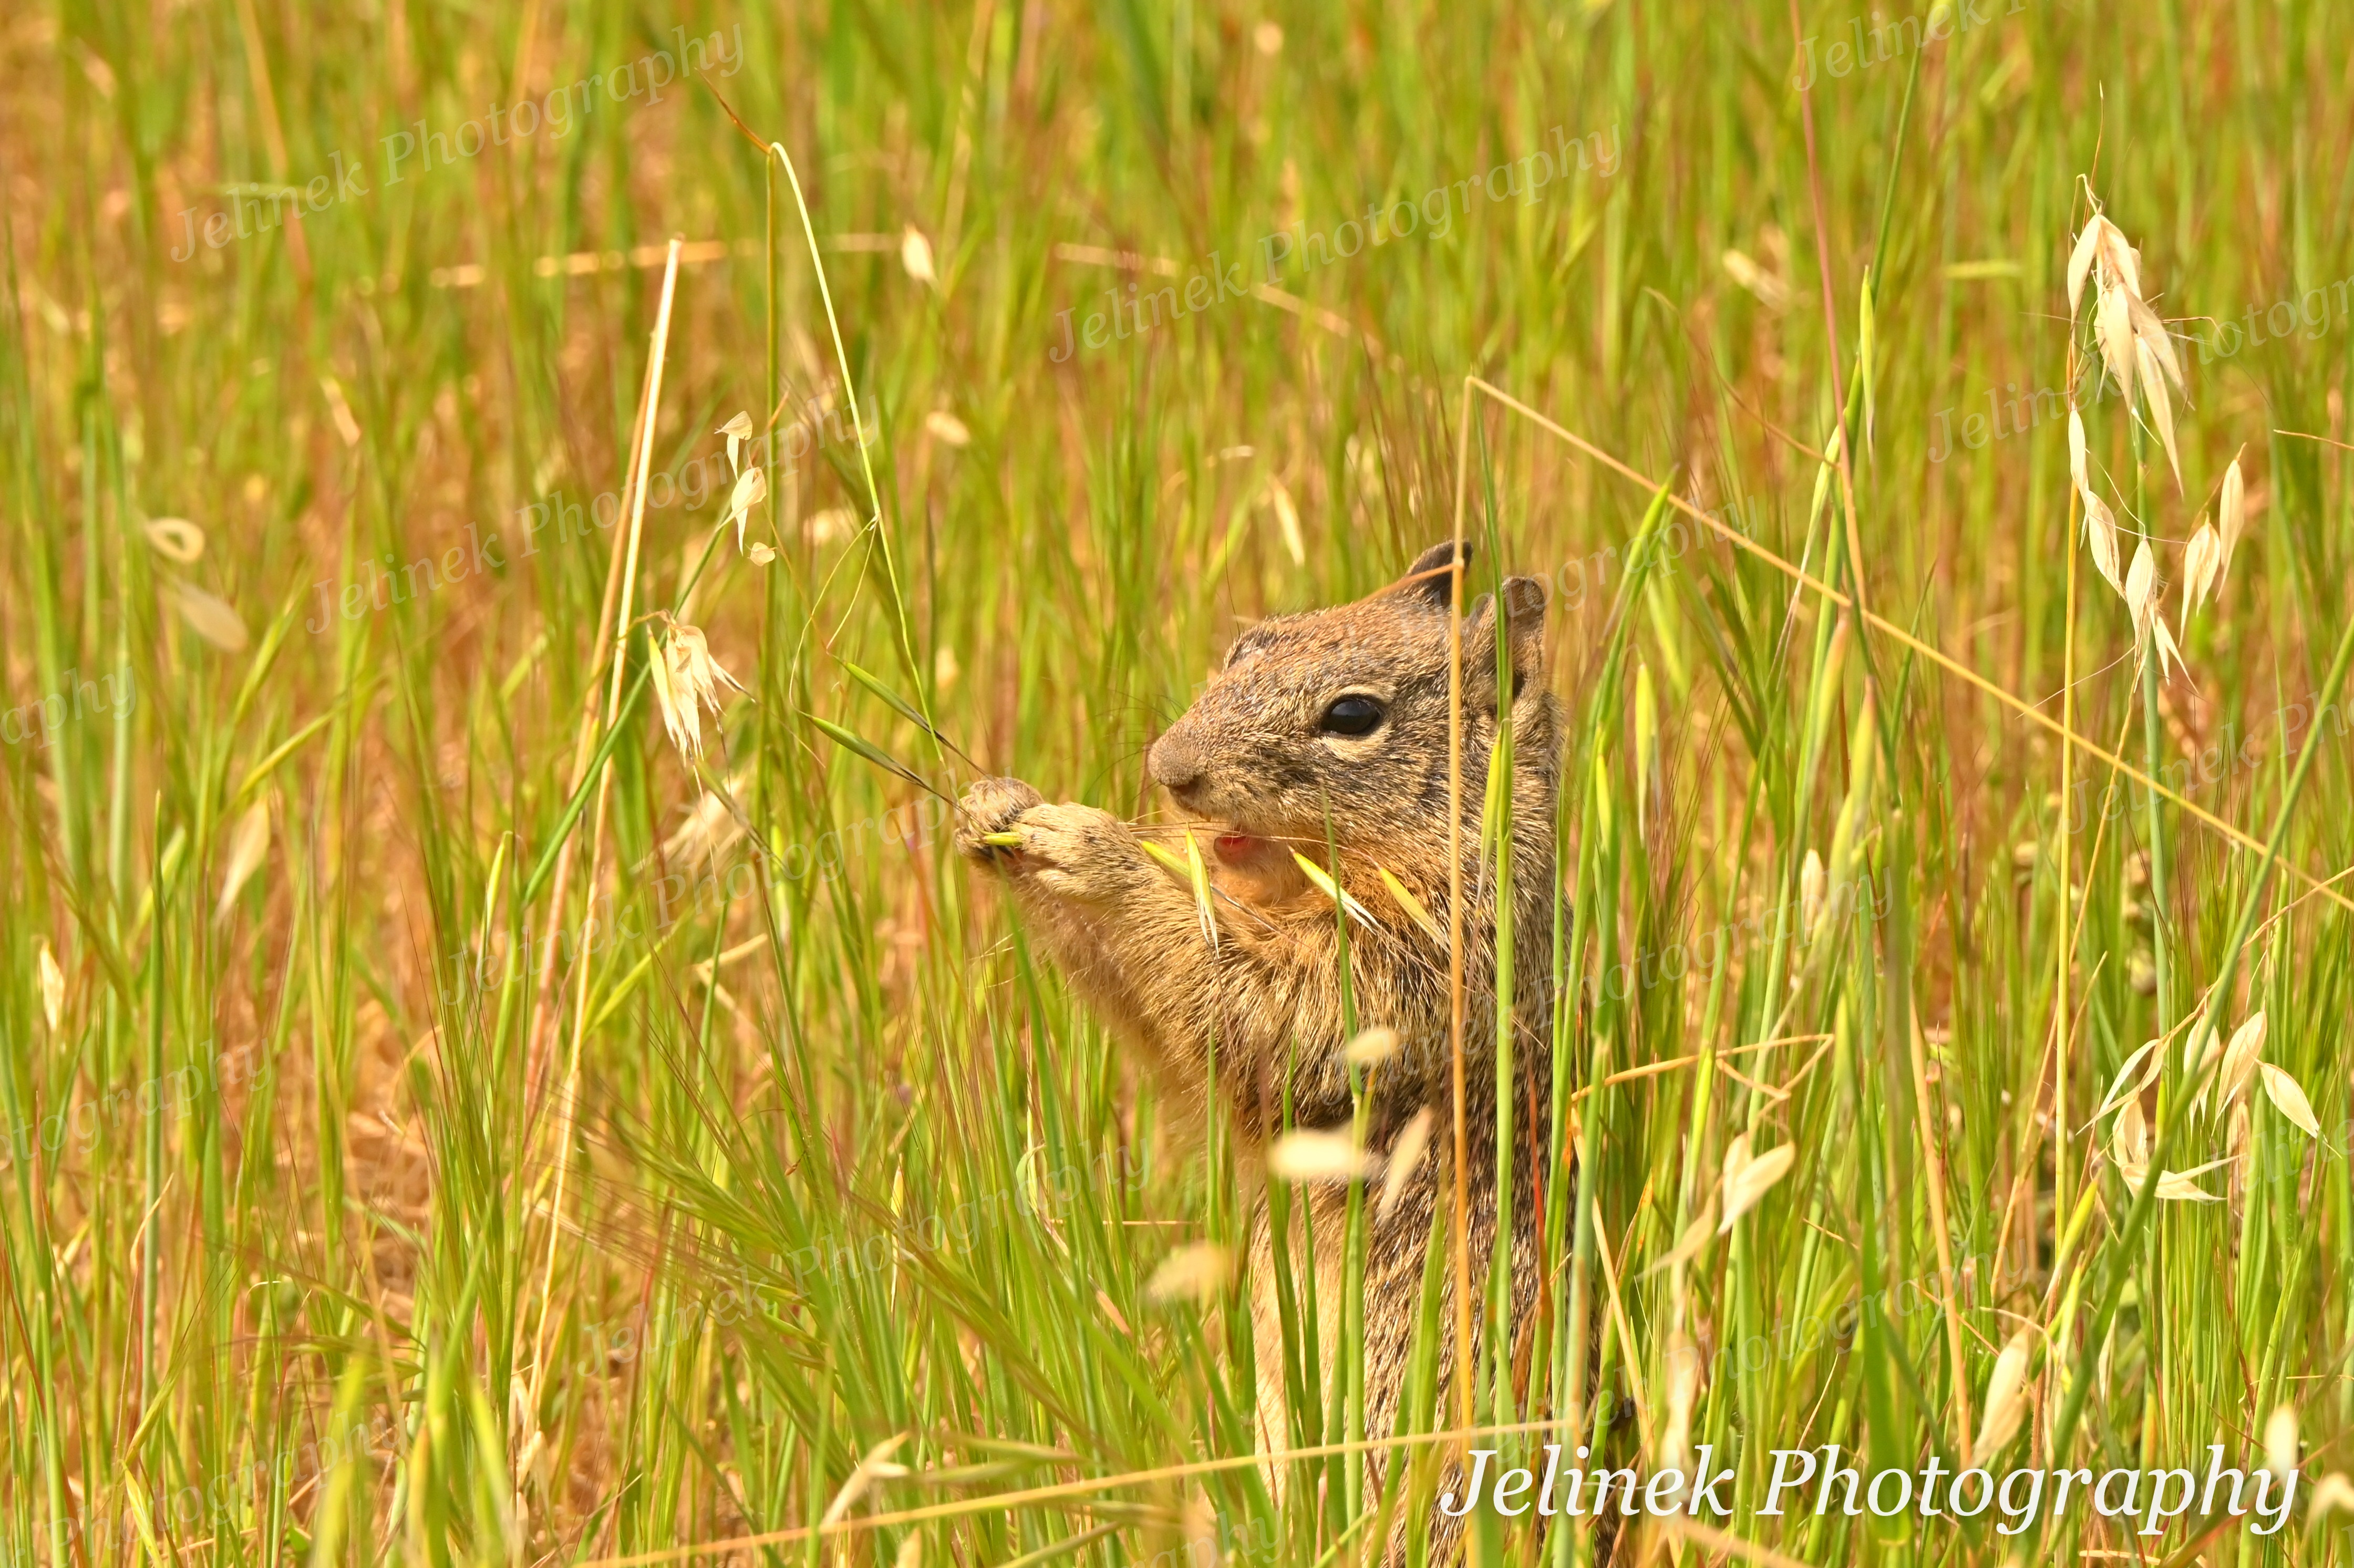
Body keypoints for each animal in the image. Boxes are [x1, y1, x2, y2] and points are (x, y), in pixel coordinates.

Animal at [954, 539, 1563, 1552]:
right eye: (1248, 645)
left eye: (1353, 715)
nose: (1169, 766)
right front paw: (997, 807)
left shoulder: (1397, 979)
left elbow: (1236, 1002)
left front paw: (1095, 847)